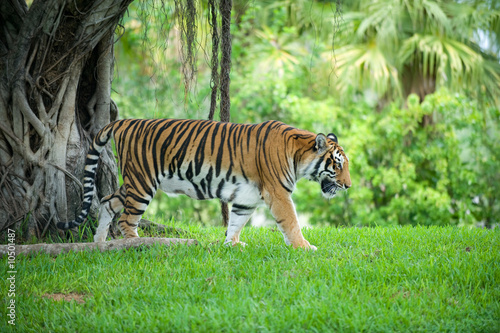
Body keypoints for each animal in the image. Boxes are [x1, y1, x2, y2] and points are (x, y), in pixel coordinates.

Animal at [56, 118, 350, 248]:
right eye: (337, 165)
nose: (348, 185)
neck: (299, 154)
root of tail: (124, 121)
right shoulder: (278, 192)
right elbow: (291, 221)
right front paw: (304, 247)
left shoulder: (247, 198)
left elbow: (236, 222)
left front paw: (232, 245)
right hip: (142, 182)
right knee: (127, 220)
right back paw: (135, 244)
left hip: (132, 182)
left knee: (107, 203)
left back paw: (99, 244)